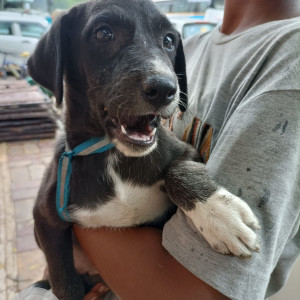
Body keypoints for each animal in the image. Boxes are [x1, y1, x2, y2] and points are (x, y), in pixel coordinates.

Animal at [29, 1, 260, 298]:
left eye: (169, 40)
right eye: (104, 33)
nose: (165, 89)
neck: (114, 156)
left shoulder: (187, 152)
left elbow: (180, 170)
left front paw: (220, 213)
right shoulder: (45, 218)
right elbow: (65, 285)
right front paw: (220, 214)